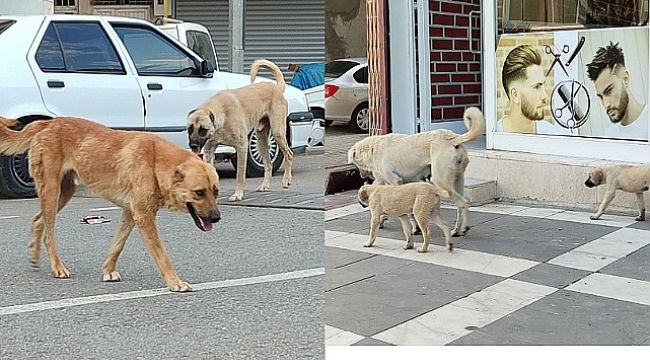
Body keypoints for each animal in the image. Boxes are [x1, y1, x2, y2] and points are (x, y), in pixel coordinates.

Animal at [0, 118, 221, 292]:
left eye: (216, 191)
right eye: (199, 192)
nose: (217, 218)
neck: (155, 160)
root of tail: (49, 122)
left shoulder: (130, 213)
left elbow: (117, 245)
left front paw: (108, 270)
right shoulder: (143, 216)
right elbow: (162, 254)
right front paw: (175, 282)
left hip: (63, 193)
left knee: (38, 220)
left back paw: (34, 255)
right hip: (52, 191)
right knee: (48, 233)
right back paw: (57, 267)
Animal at [185, 57, 292, 201]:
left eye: (203, 129)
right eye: (190, 129)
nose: (193, 146)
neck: (222, 115)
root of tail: (276, 87)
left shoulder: (242, 147)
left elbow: (240, 175)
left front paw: (238, 194)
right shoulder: (209, 151)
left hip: (277, 132)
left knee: (289, 154)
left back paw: (286, 180)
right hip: (261, 140)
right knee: (269, 164)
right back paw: (264, 185)